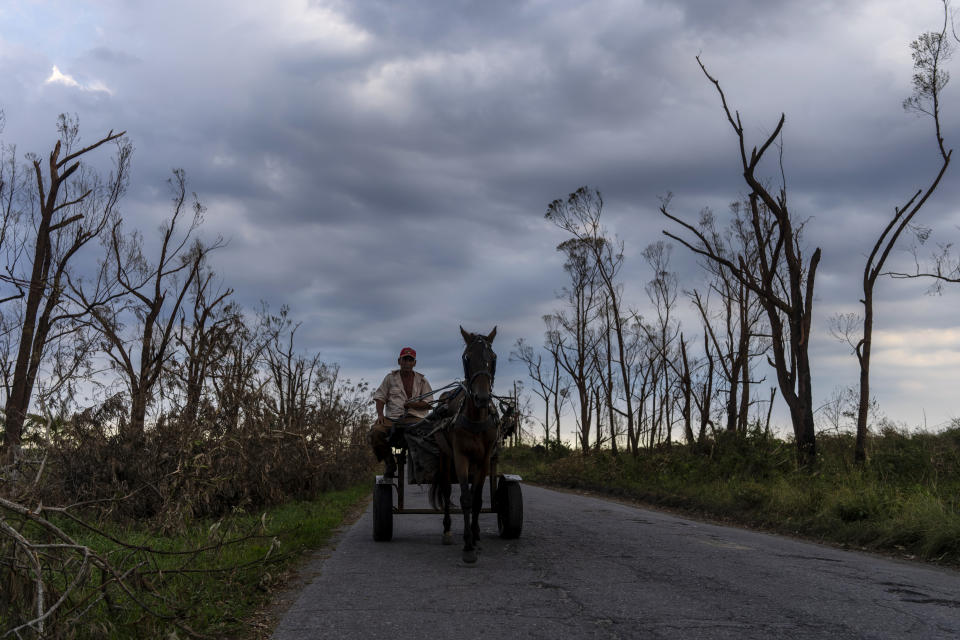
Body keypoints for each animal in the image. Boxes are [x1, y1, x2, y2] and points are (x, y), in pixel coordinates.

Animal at [432, 328, 498, 564]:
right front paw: (468, 547)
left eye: (493, 358)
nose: (482, 397)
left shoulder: (484, 460)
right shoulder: (461, 456)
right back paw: (447, 531)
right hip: (445, 457)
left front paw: (476, 536)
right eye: (467, 358)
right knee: (445, 490)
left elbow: (477, 499)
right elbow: (466, 498)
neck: (476, 417)